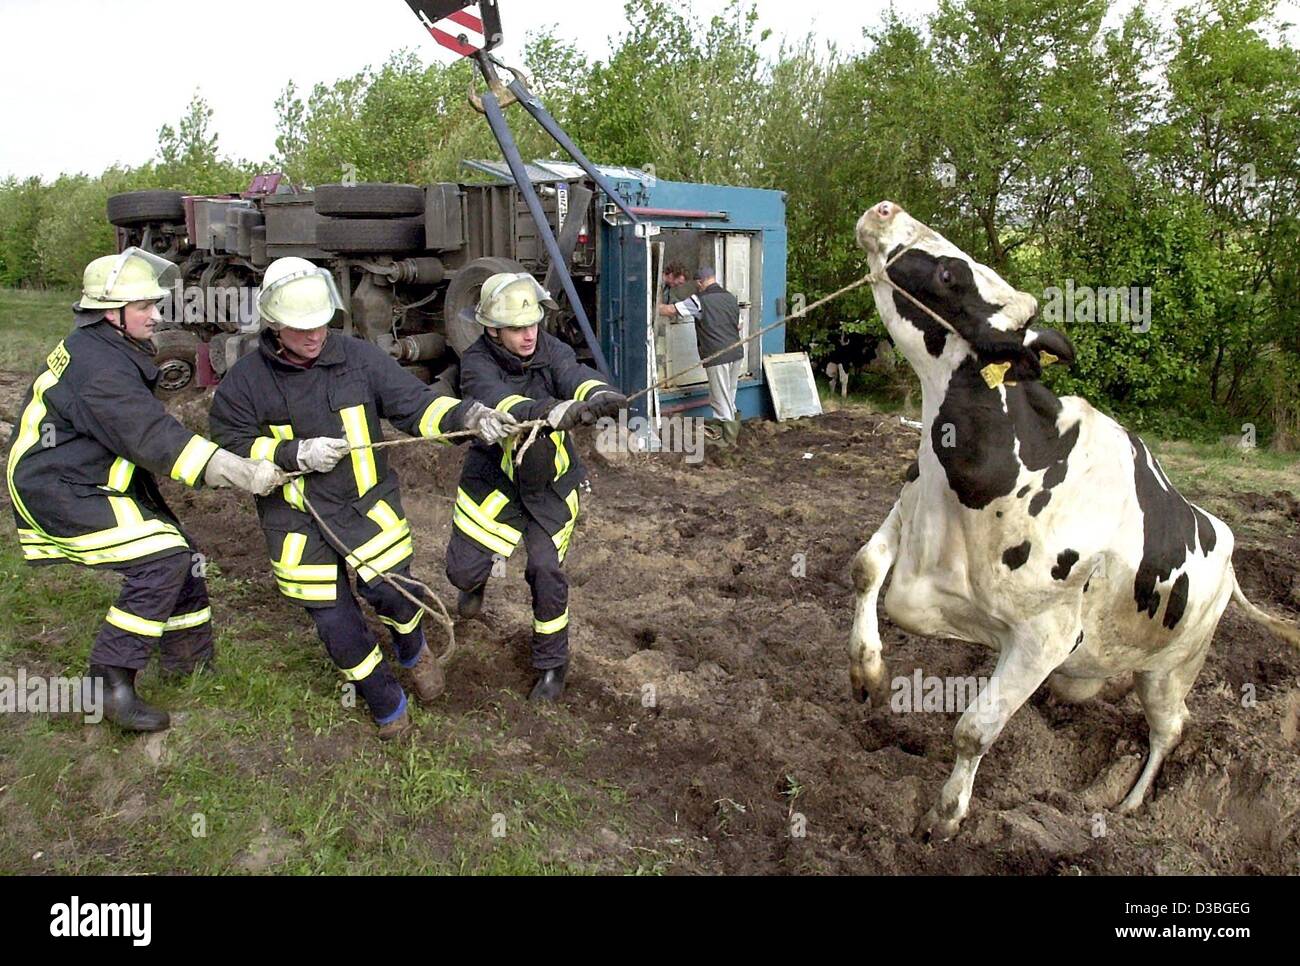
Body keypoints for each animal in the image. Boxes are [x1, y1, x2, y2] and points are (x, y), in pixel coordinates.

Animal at [847, 201, 1294, 837]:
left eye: (950, 275)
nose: (887, 209)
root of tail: (1225, 543)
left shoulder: (1046, 636)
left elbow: (974, 729)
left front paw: (947, 814)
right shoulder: (911, 515)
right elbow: (865, 566)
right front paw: (868, 673)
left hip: (1174, 667)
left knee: (1171, 727)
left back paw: (1129, 805)